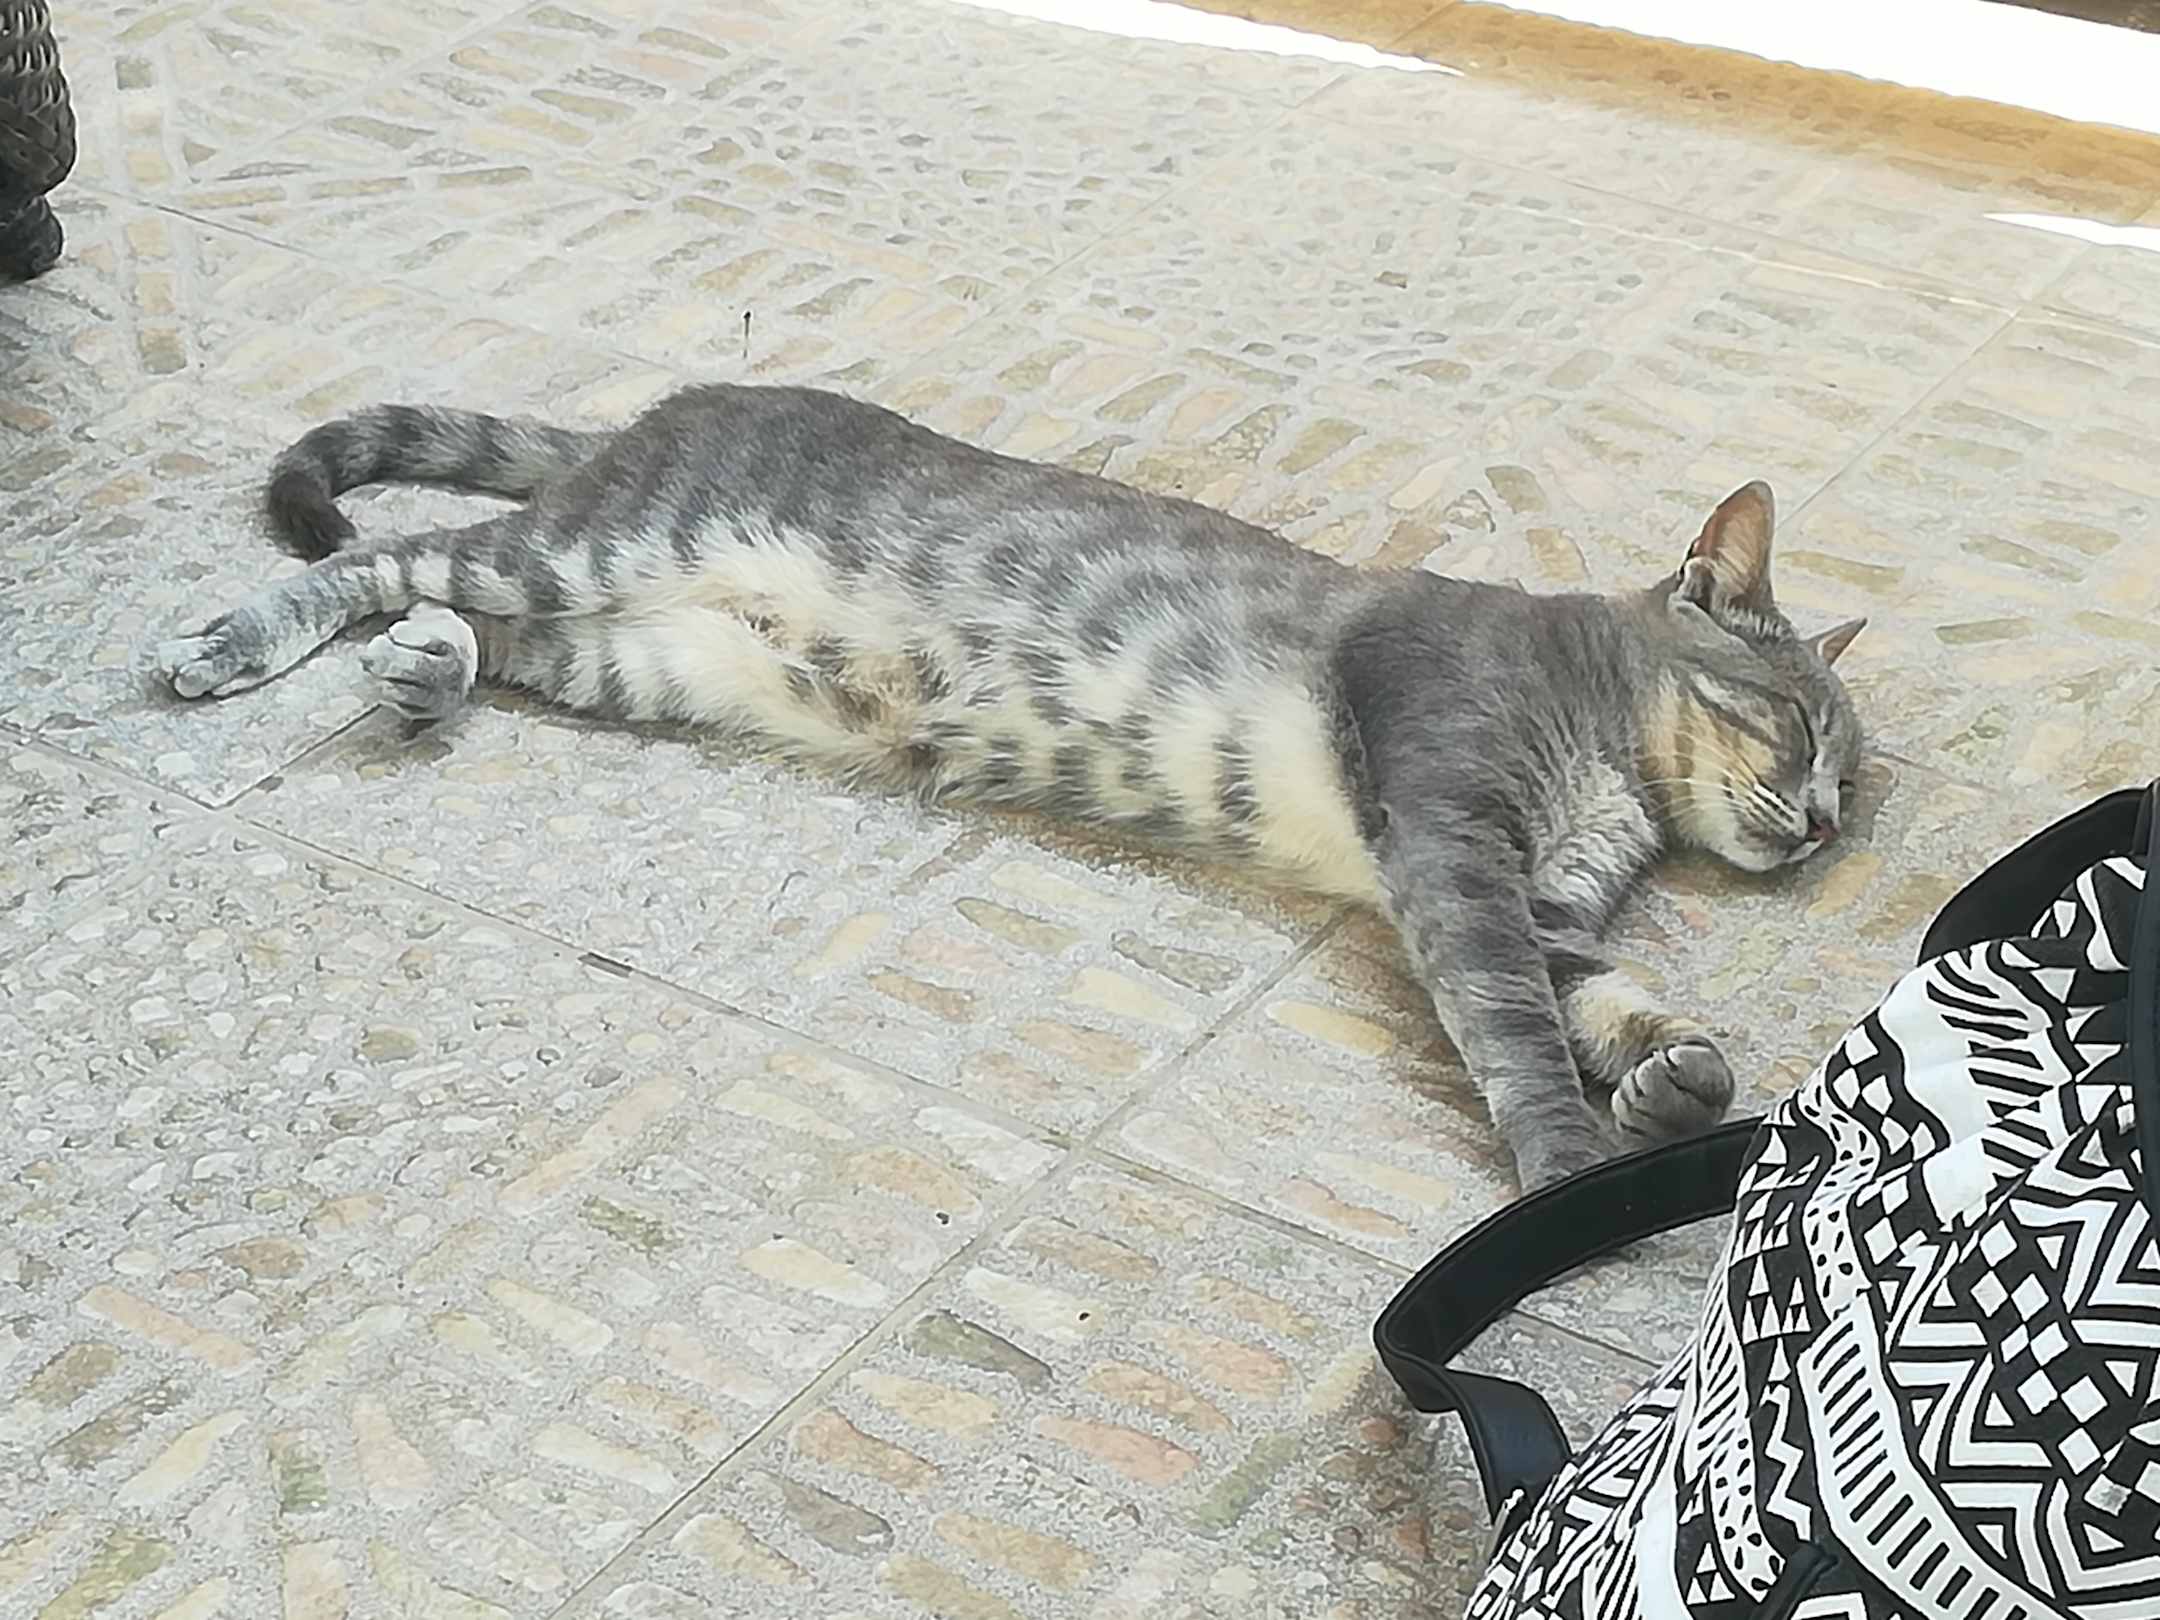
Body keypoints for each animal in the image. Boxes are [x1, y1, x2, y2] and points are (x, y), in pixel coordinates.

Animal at [152, 383, 1864, 1191]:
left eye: (1854, 774)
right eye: (1802, 726)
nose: (1831, 822)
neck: (1612, 766)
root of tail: (651, 414)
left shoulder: (1523, 889)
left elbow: (1599, 986)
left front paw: (1669, 1072)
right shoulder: (1451, 843)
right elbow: (1513, 1029)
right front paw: (1562, 1174)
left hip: (654, 657)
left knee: (485, 630)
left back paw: (427, 672)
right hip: (601, 548)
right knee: (389, 556)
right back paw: (230, 642)